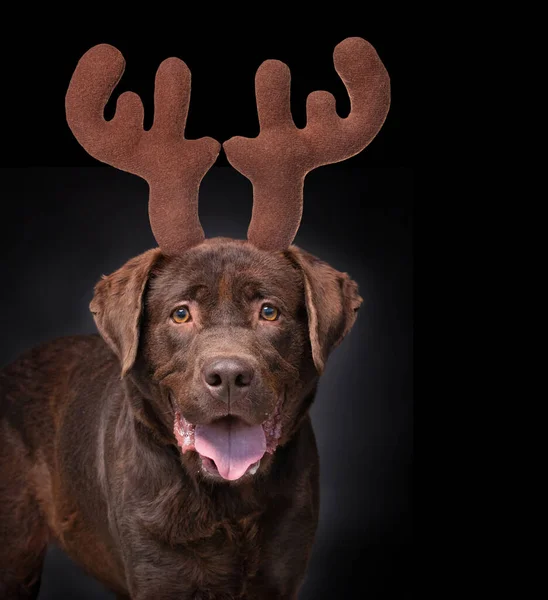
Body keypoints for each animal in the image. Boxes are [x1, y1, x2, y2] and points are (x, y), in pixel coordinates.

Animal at [0, 35, 390, 596]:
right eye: (181, 313)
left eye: (269, 311)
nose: (228, 376)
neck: (228, 504)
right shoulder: (156, 570)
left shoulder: (283, 569)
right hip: (15, 550)